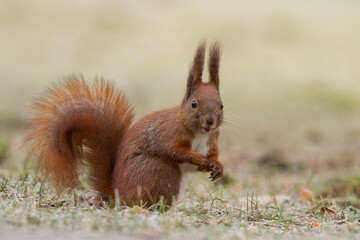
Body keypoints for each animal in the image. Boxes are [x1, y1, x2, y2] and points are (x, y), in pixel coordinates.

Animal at [24, 41, 222, 206]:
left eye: (221, 105)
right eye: (194, 104)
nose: (210, 121)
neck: (200, 133)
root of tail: (115, 193)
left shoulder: (211, 141)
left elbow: (211, 157)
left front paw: (217, 167)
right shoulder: (168, 133)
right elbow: (173, 150)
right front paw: (197, 158)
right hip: (158, 170)